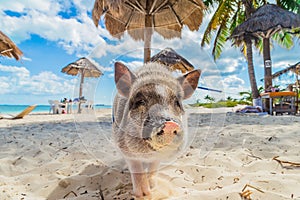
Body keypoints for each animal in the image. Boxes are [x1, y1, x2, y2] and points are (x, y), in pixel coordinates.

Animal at [112, 61, 202, 197]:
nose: (169, 124)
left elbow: (154, 167)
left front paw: (153, 188)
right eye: (140, 101)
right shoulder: (123, 145)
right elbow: (136, 168)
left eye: (177, 102)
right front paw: (142, 194)